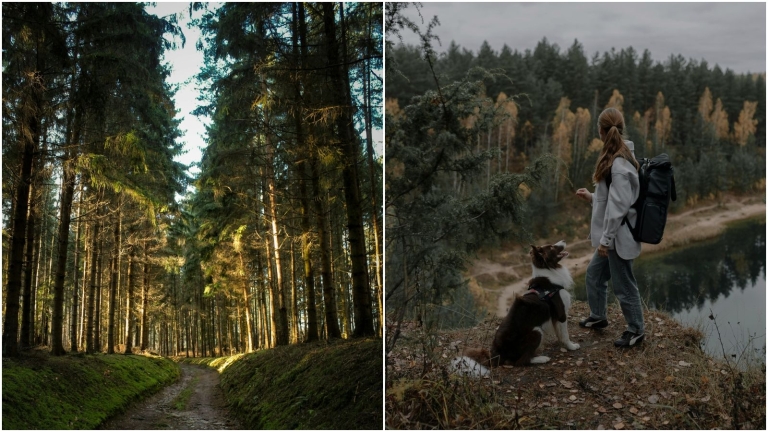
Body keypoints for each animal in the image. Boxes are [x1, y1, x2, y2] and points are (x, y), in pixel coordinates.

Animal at [448, 240, 580, 374]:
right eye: (552, 247)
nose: (564, 240)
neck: (550, 274)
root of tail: (496, 356)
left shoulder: (555, 318)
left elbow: (560, 334)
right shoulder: (561, 314)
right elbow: (565, 334)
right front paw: (571, 346)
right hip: (536, 331)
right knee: (520, 361)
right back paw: (541, 358)